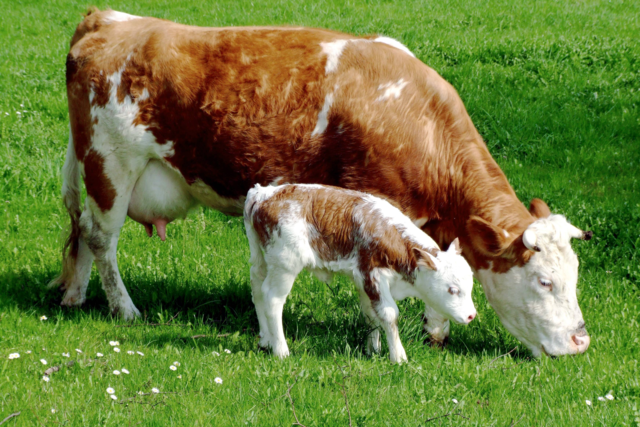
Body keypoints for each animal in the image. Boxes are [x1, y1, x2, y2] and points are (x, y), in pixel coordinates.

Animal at [242, 184, 478, 364]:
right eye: (452, 289)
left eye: (471, 286)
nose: (471, 315)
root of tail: (263, 193)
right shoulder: (373, 275)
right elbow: (389, 314)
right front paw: (398, 357)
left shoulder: (362, 279)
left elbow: (370, 314)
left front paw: (373, 349)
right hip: (285, 263)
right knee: (273, 299)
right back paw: (281, 350)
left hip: (263, 259)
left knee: (257, 288)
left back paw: (265, 340)